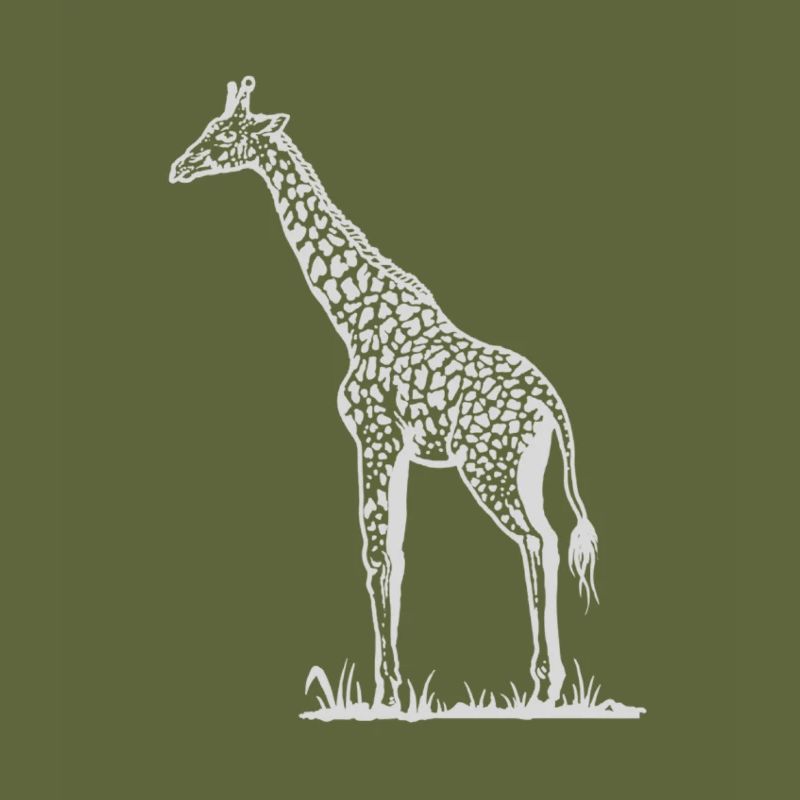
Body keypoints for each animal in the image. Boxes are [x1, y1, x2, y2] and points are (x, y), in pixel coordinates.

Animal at [170, 76, 599, 708]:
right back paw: (547, 682)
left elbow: (374, 552)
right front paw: (393, 684)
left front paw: (386, 690)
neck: (352, 313)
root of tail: (552, 405)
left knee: (536, 540)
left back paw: (545, 683)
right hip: (526, 465)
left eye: (223, 137)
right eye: (207, 127)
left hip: (488, 467)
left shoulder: (373, 434)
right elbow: (394, 549)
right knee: (542, 537)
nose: (178, 167)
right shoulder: (397, 448)